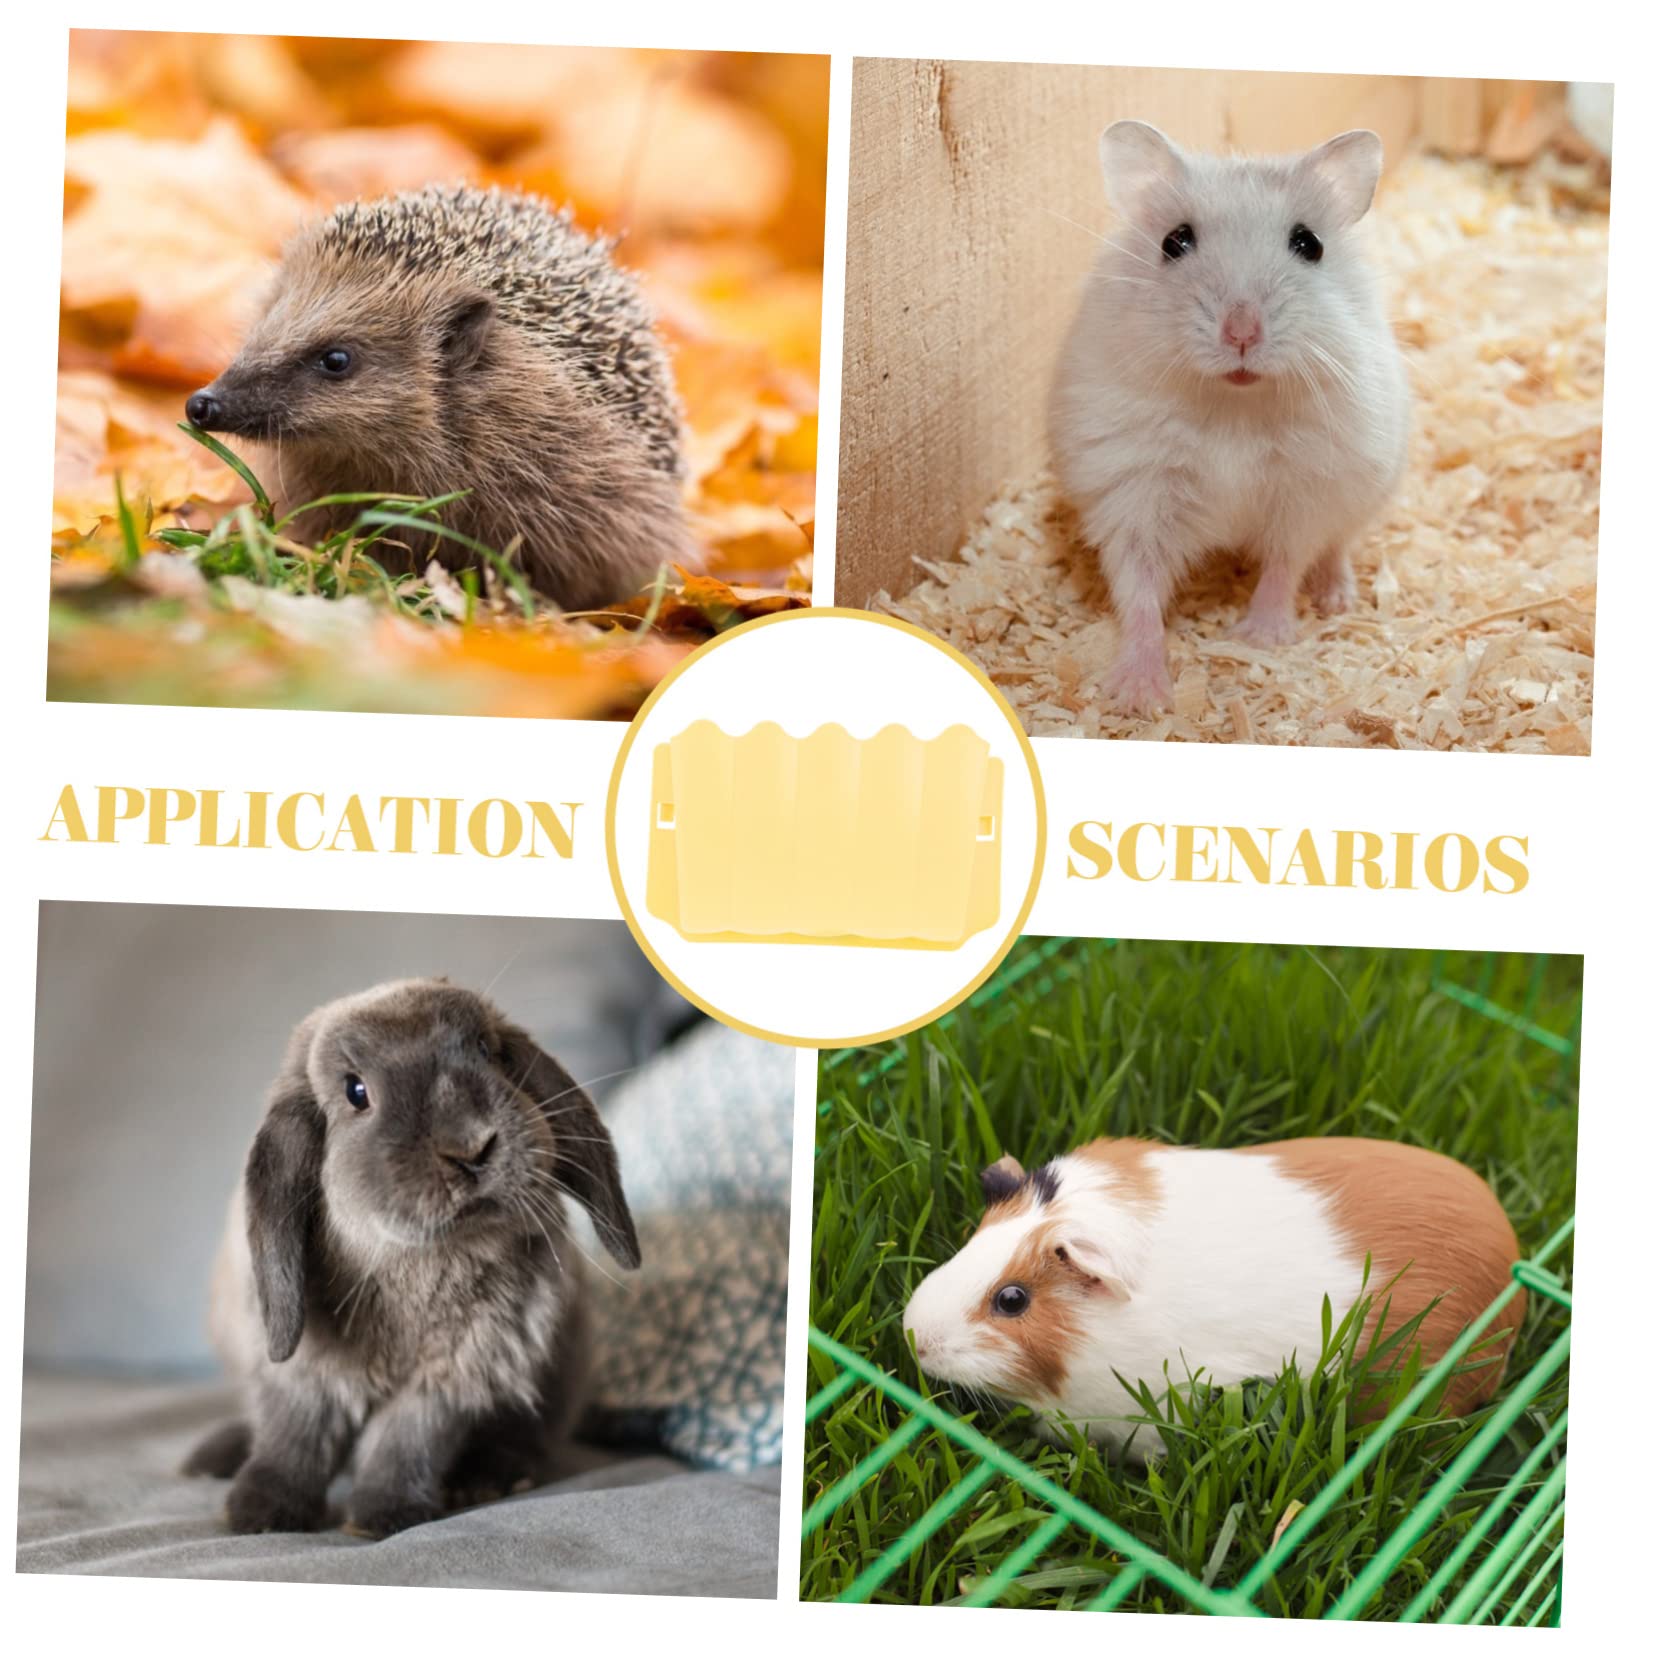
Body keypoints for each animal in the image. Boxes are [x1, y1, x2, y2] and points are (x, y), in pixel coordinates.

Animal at [181, 978, 640, 1538]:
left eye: (487, 1051)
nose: (470, 1146)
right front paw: (260, 1514)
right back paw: (211, 1459)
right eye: (356, 1092)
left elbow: (406, 1442)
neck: (419, 1264)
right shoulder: (303, 1373)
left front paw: (384, 1517)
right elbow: (295, 1435)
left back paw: (489, 1480)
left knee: (527, 1436)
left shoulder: (450, 1378)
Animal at [1048, 121, 1411, 715]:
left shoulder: (1306, 492)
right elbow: (1139, 591)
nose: (1241, 332)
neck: (1235, 405)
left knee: (1336, 546)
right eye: (1174, 242)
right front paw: (1140, 697)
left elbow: (1286, 563)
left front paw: (1260, 639)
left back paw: (1335, 598)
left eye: (1309, 244)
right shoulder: (1135, 496)